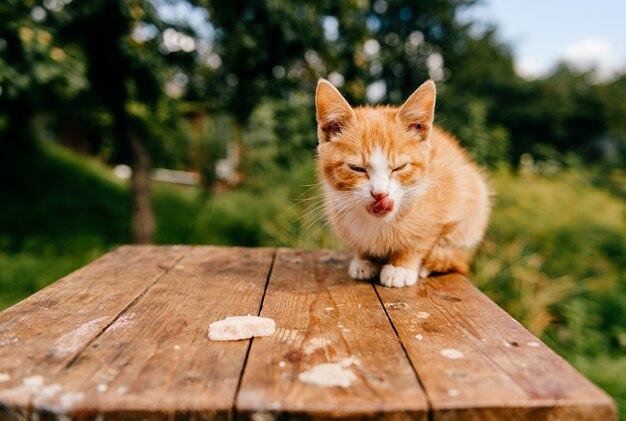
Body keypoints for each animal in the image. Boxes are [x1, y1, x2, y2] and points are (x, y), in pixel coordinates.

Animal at [316, 78, 488, 288]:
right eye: (357, 168)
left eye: (400, 167)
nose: (380, 194)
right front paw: (363, 259)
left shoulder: (450, 201)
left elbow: (423, 237)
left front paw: (401, 266)